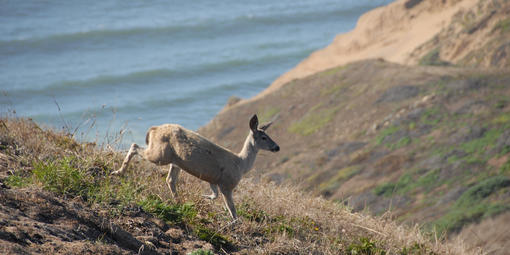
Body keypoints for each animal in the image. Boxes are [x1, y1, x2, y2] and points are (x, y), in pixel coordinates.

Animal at [110, 115, 278, 219]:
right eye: (264, 137)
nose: (277, 147)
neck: (241, 164)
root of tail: (153, 129)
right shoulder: (226, 184)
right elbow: (232, 208)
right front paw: (235, 223)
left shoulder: (213, 179)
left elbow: (215, 195)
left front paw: (203, 197)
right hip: (160, 154)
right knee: (134, 146)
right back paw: (118, 172)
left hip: (175, 160)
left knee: (170, 179)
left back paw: (178, 202)